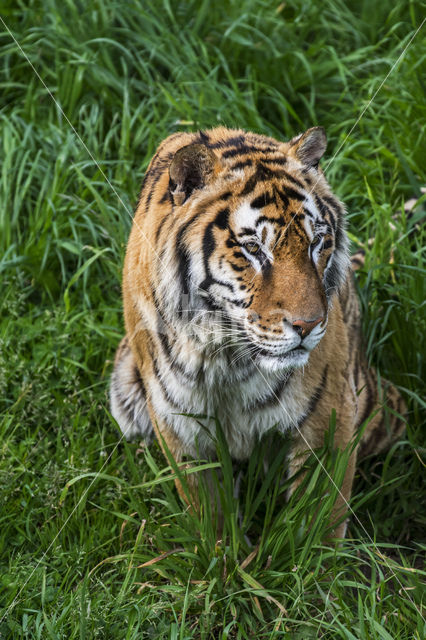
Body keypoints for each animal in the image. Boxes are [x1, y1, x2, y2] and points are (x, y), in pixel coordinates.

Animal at [110, 125, 406, 536]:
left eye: (317, 242)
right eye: (252, 249)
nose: (310, 325)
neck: (225, 354)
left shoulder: (327, 417)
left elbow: (320, 522)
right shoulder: (181, 423)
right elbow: (209, 516)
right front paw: (219, 550)